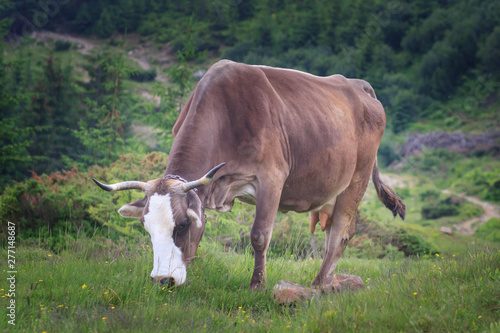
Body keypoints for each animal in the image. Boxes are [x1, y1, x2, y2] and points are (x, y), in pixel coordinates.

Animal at [93, 61, 406, 290]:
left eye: (182, 225)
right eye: (146, 228)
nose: (162, 280)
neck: (224, 117)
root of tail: (359, 85)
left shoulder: (271, 178)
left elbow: (259, 235)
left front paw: (258, 285)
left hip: (357, 179)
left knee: (341, 233)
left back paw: (317, 286)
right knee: (331, 235)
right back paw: (325, 280)